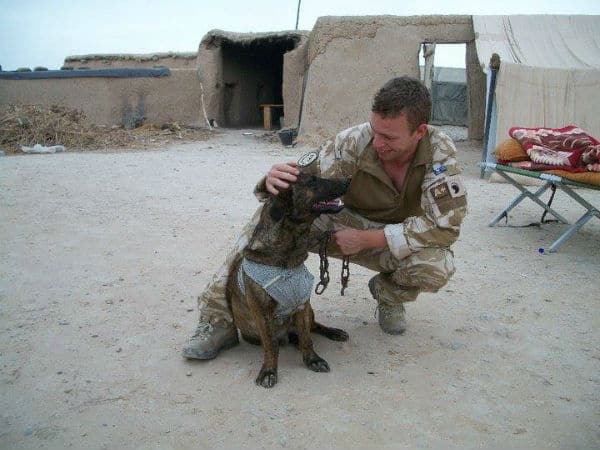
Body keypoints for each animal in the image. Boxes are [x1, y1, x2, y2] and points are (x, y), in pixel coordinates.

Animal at [229, 172, 352, 386]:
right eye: (312, 180)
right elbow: (271, 345)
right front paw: (269, 371)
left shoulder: (302, 304)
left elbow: (307, 338)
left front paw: (312, 360)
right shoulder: (262, 312)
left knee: (313, 327)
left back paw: (333, 332)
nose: (348, 180)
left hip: (309, 312)